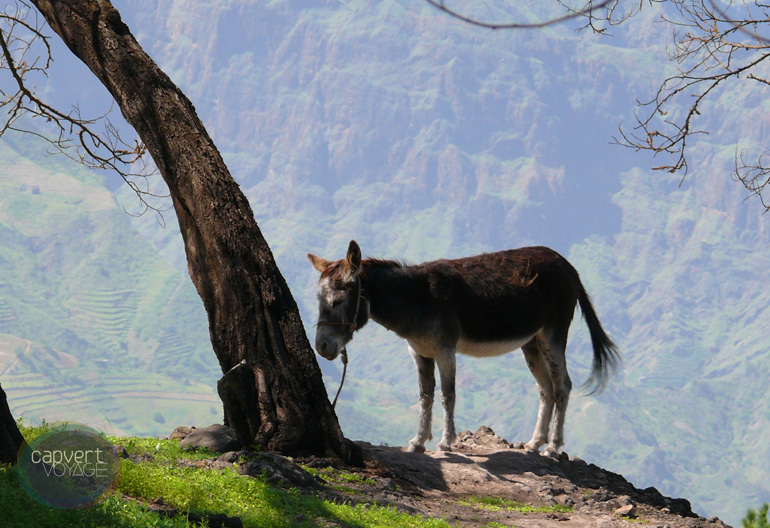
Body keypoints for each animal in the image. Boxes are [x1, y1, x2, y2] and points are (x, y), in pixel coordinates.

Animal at [307, 240, 619, 456]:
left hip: (554, 334)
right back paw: (533, 444)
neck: (416, 298)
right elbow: (425, 396)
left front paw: (446, 443)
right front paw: (417, 442)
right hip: (532, 343)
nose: (321, 347)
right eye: (319, 300)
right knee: (547, 389)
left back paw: (553, 447)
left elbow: (448, 396)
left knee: (563, 385)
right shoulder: (419, 351)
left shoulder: (446, 350)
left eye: (337, 301)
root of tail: (567, 266)